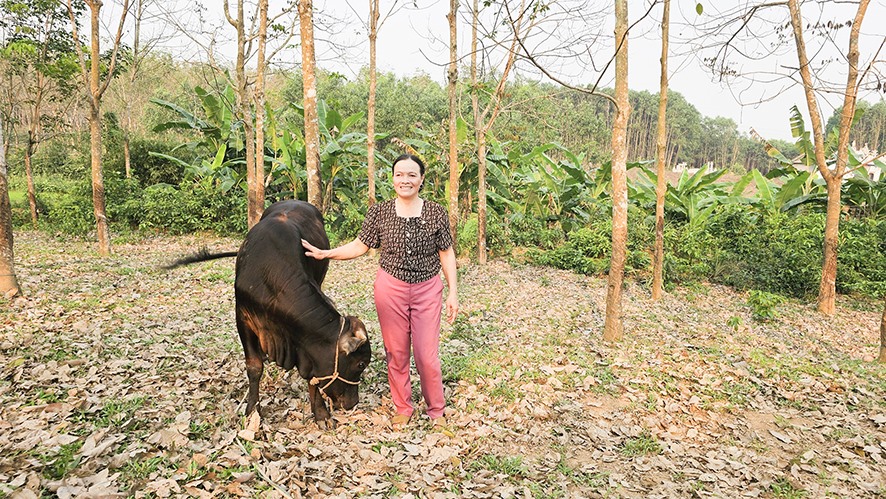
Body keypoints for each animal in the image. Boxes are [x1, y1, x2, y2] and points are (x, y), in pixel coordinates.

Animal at [167, 201, 372, 428]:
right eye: (361, 364)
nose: (353, 403)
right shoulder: (243, 319)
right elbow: (254, 367)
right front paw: (252, 412)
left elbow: (313, 377)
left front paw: (321, 413)